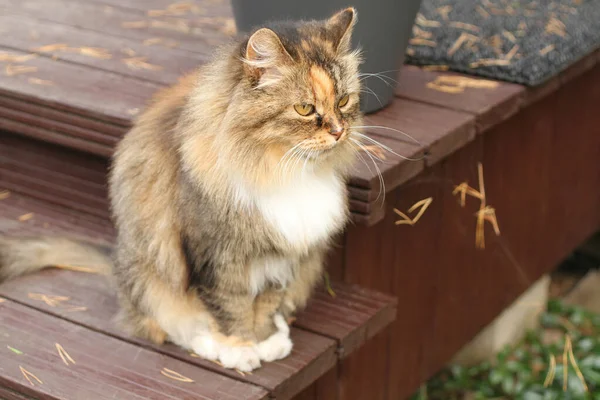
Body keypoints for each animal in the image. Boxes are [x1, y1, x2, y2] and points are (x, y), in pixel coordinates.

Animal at [0, 7, 364, 374]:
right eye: (304, 109)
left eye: (344, 101)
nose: (338, 131)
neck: (281, 169)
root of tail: (116, 259)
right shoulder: (216, 256)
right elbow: (230, 308)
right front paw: (241, 348)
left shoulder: (282, 253)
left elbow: (266, 302)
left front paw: (265, 339)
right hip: (149, 273)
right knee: (168, 324)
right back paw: (209, 343)